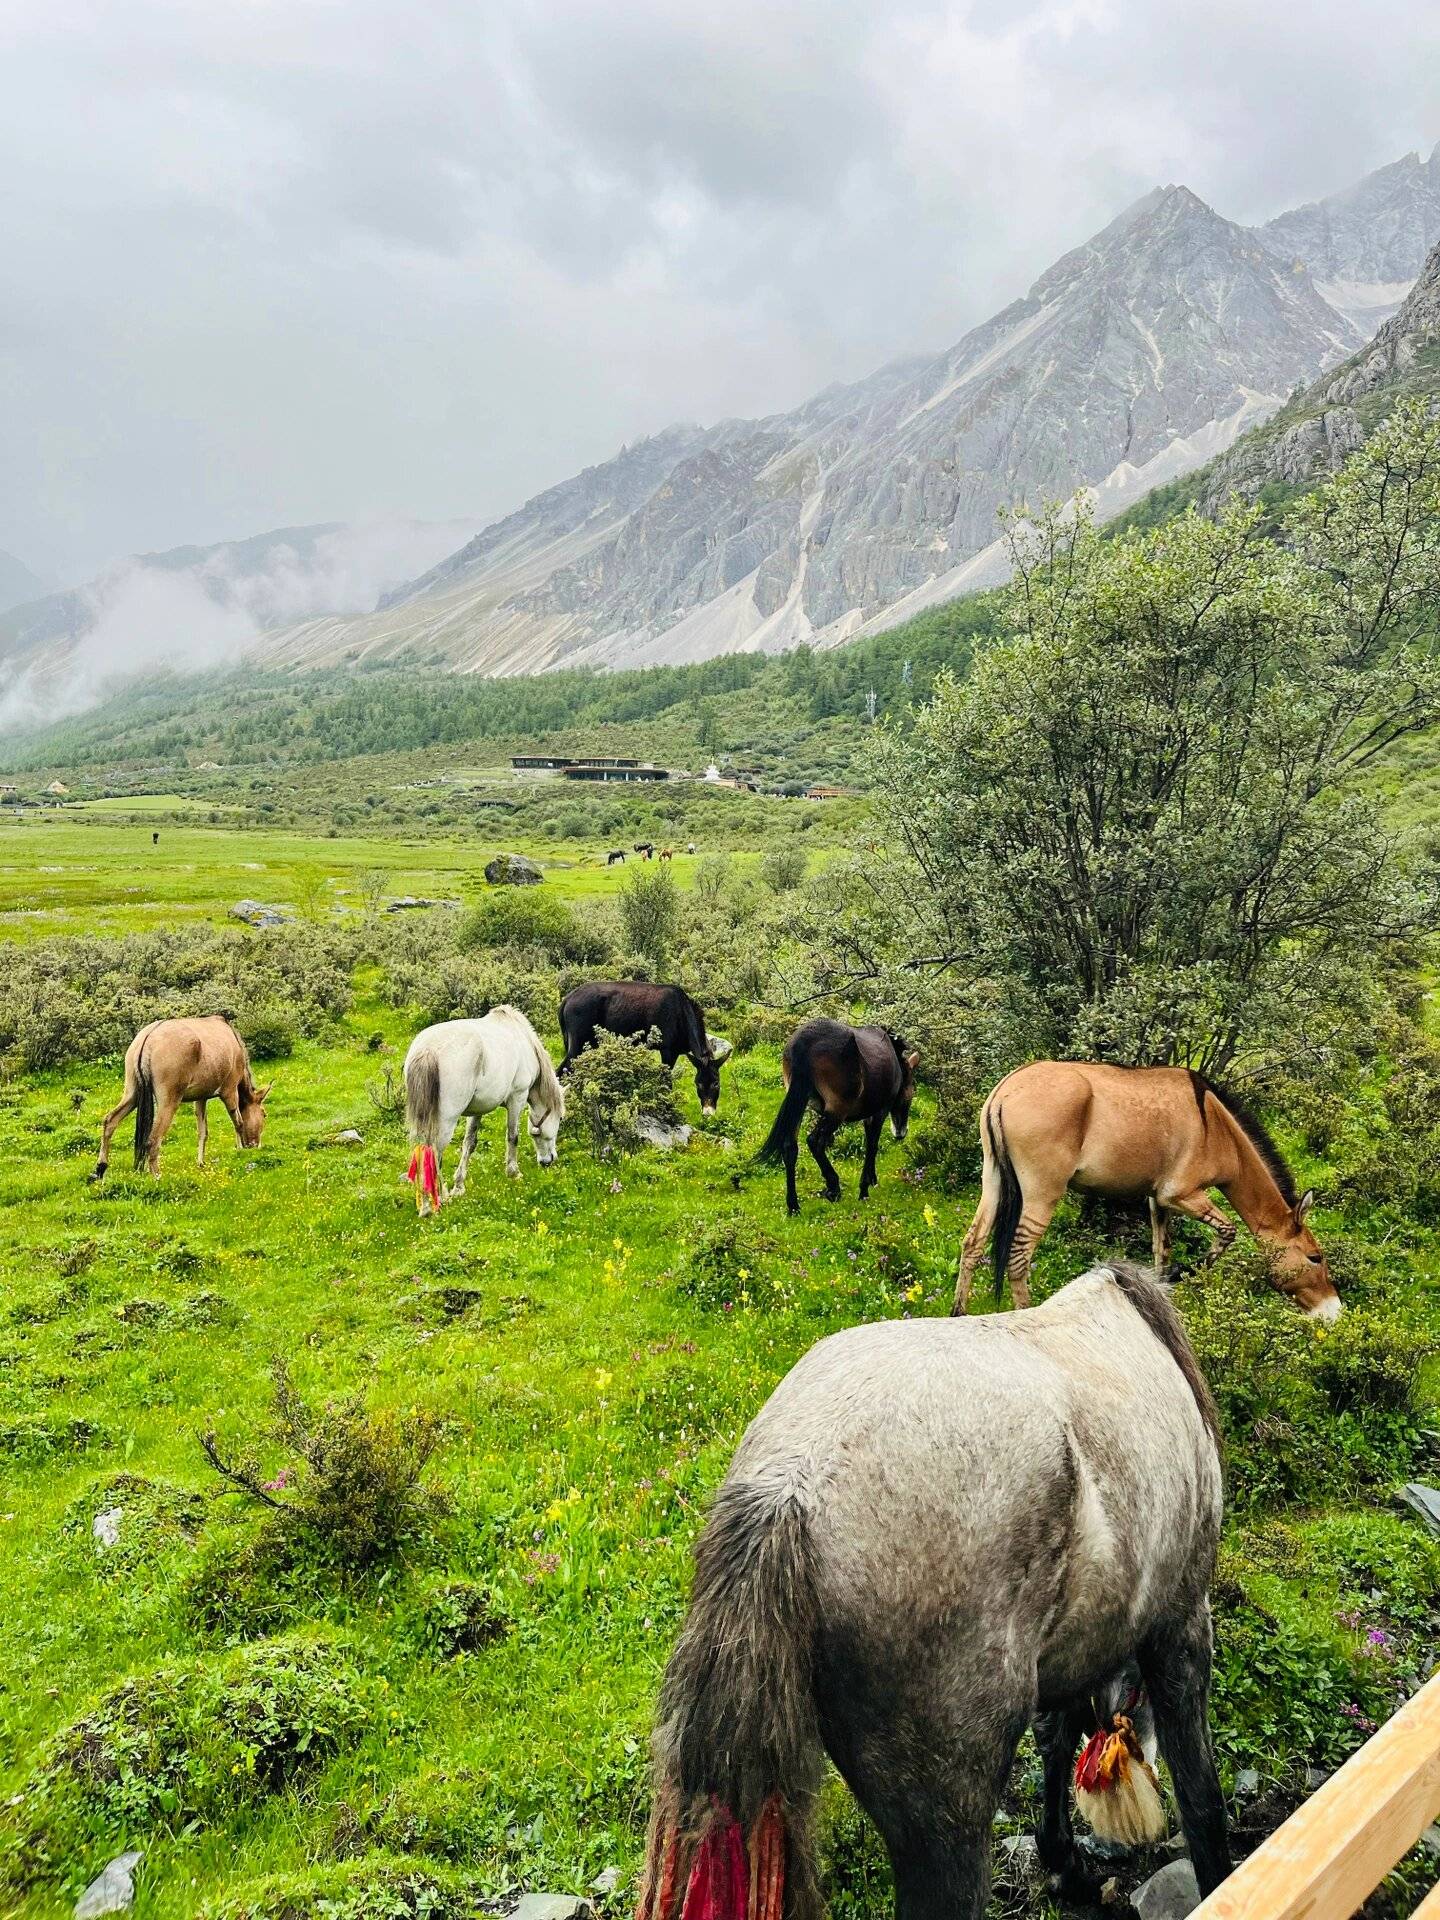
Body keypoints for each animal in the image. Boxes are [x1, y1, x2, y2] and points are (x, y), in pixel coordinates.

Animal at [96, 1013, 270, 1175]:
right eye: (264, 1114)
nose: (256, 1145)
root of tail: (148, 1039)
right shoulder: (230, 1091)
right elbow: (238, 1122)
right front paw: (240, 1150)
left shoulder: (201, 1098)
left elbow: (203, 1131)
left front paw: (201, 1162)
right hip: (169, 1102)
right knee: (153, 1140)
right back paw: (156, 1176)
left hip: (133, 1094)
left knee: (110, 1120)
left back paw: (100, 1168)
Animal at [407, 1006, 568, 1213]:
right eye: (560, 1118)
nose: (548, 1161)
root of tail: (428, 1050)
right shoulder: (517, 1098)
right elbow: (513, 1137)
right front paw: (513, 1172)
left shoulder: (477, 1110)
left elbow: (469, 1143)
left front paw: (459, 1186)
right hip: (445, 1121)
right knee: (434, 1152)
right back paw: (438, 1199)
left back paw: (426, 1204)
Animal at [637, 1259, 1236, 1920]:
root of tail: (791, 1487)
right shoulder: (1181, 1625)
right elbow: (1199, 1791)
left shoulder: (1070, 1650)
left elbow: (1056, 1738)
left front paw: (1063, 1862)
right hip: (948, 1818)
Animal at [760, 1021, 917, 1213]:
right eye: (910, 1093)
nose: (901, 1132)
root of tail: (804, 1042)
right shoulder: (880, 1110)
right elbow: (872, 1146)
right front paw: (864, 1190)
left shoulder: (869, 1115)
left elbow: (871, 1144)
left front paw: (872, 1180)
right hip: (837, 1110)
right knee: (815, 1141)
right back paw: (833, 1187)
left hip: (799, 1100)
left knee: (789, 1146)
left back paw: (793, 1205)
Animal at [960, 1067, 1344, 1320]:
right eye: (1315, 1257)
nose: (1334, 1310)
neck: (1215, 1127)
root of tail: (1005, 1091)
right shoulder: (1180, 1196)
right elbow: (1226, 1233)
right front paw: (1187, 1275)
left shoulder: (1157, 1202)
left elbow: (1162, 1250)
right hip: (1042, 1193)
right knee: (1019, 1257)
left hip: (993, 1181)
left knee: (972, 1244)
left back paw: (958, 1313)